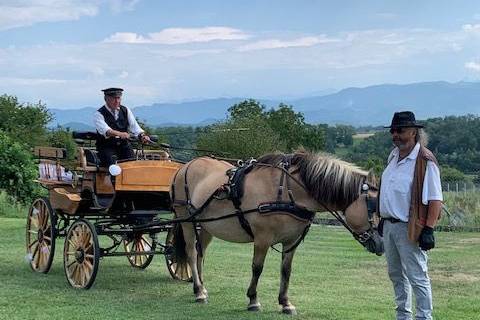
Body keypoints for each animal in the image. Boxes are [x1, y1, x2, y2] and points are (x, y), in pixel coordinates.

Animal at [169, 151, 382, 316]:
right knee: (192, 253)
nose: (381, 245)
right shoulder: (262, 239)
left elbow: (286, 270)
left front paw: (285, 302)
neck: (288, 190)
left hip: (206, 226)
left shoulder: (291, 241)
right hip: (187, 221)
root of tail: (185, 167)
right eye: (373, 208)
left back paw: (202, 288)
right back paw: (198, 291)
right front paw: (253, 300)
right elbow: (257, 268)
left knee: (201, 254)